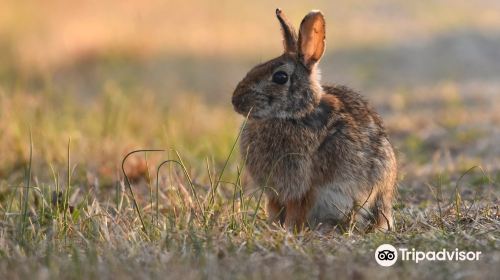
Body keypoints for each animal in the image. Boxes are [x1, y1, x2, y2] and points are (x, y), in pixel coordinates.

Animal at [231, 8, 398, 232]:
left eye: (280, 77)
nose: (235, 101)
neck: (295, 114)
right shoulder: (274, 192)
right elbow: (274, 208)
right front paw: (273, 228)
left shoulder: (305, 187)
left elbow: (297, 210)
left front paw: (289, 230)